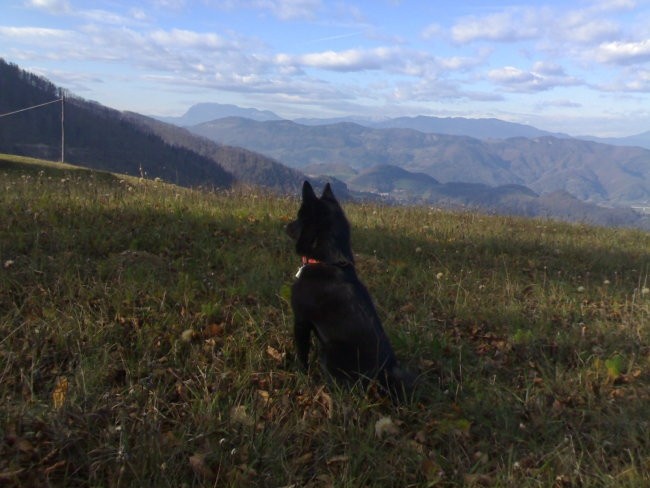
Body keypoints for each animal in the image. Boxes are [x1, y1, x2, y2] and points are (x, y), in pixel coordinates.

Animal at [284, 181, 410, 398]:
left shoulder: (301, 321)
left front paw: (299, 374)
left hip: (329, 351)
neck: (329, 261)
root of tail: (382, 376)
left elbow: (302, 354)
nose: (284, 226)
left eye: (299, 216)